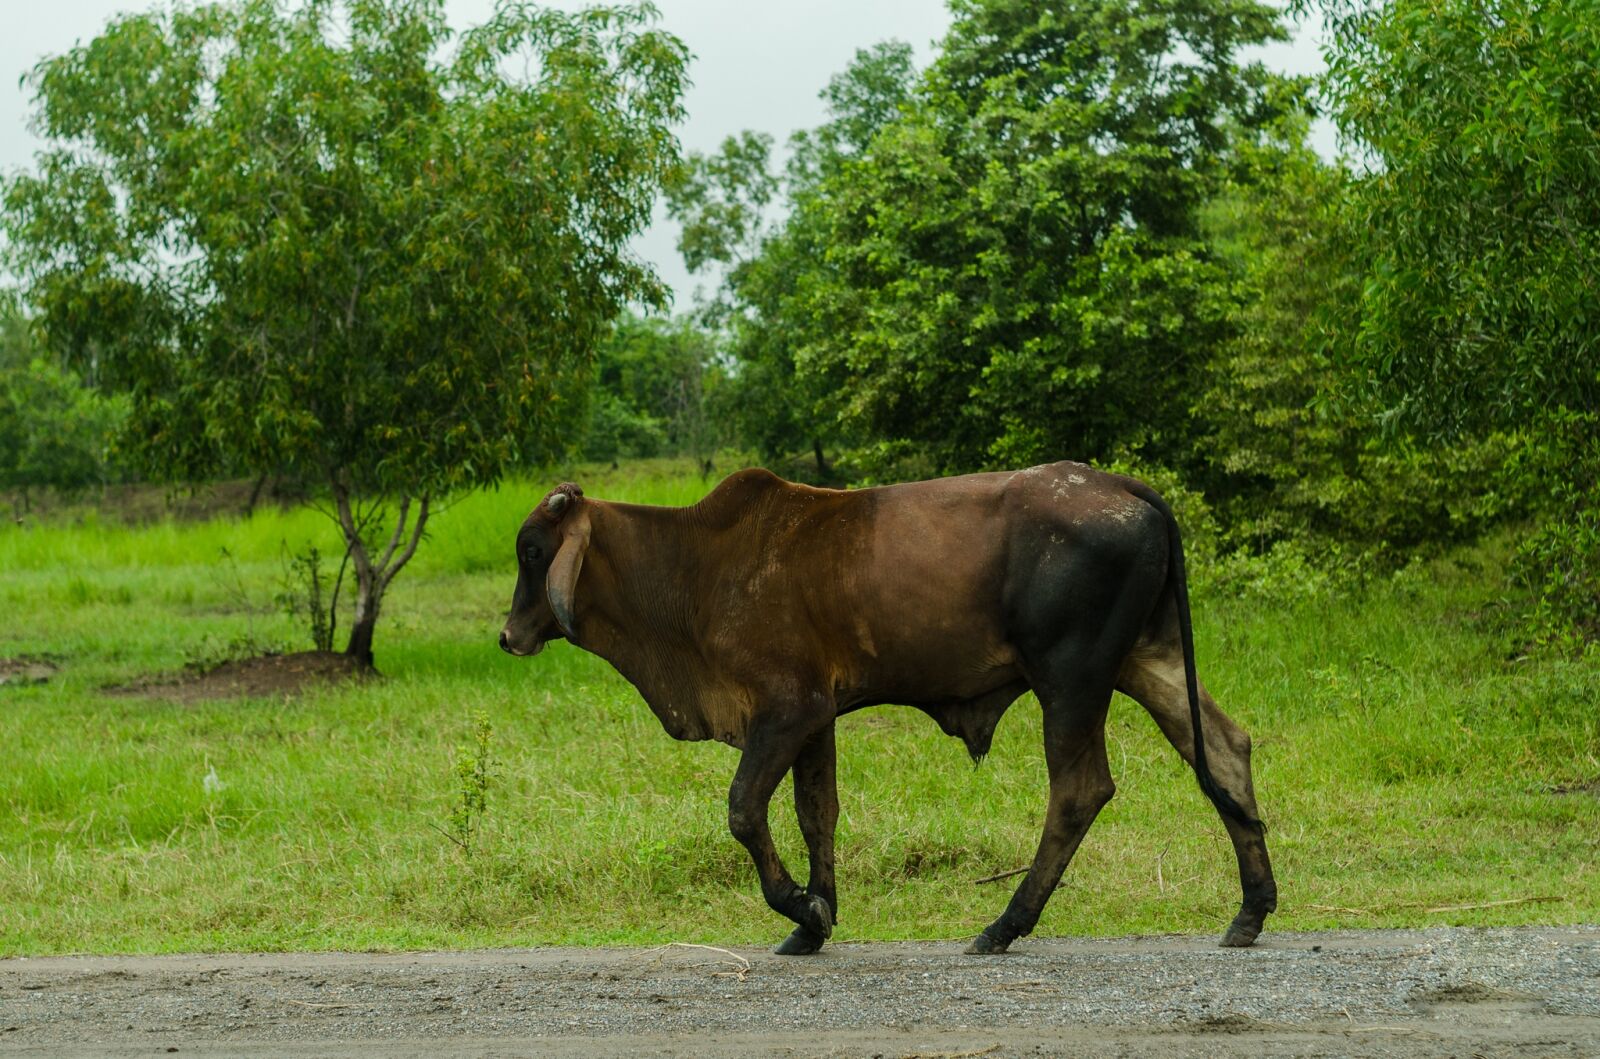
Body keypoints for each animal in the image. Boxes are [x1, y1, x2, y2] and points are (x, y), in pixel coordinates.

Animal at [499, 463, 1277, 956]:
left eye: (533, 550)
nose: (508, 636)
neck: (695, 568)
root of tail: (1125, 486)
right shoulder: (816, 718)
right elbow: (817, 814)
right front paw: (813, 922)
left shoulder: (785, 709)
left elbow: (744, 810)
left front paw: (801, 906)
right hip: (1147, 660)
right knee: (1226, 749)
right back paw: (1251, 909)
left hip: (1071, 677)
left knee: (1080, 790)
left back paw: (1005, 925)